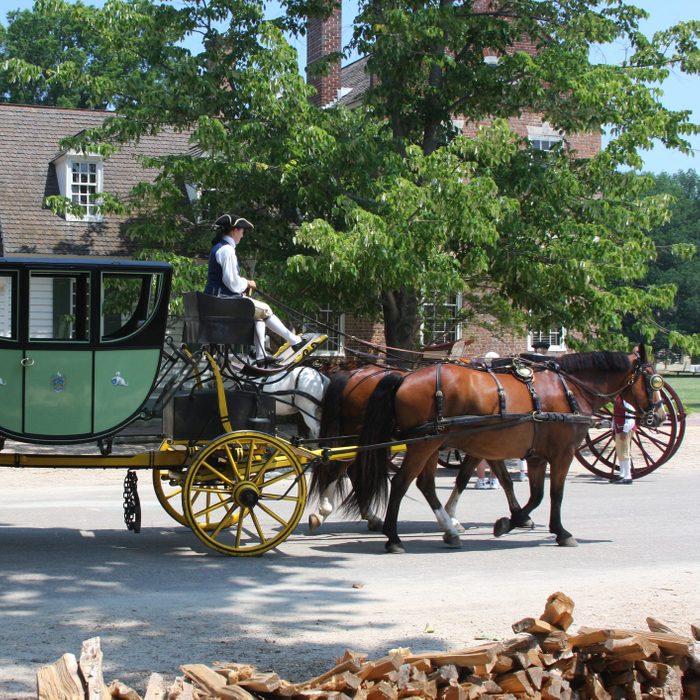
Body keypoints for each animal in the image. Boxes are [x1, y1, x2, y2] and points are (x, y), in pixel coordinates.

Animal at [353, 346, 666, 553]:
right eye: (654, 380)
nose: (661, 416)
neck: (570, 389)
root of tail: (405, 377)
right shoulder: (562, 454)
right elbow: (555, 494)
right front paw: (561, 532)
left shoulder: (536, 456)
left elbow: (535, 494)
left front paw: (510, 521)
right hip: (423, 444)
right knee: (400, 483)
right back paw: (393, 538)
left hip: (431, 443)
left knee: (425, 484)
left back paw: (449, 532)